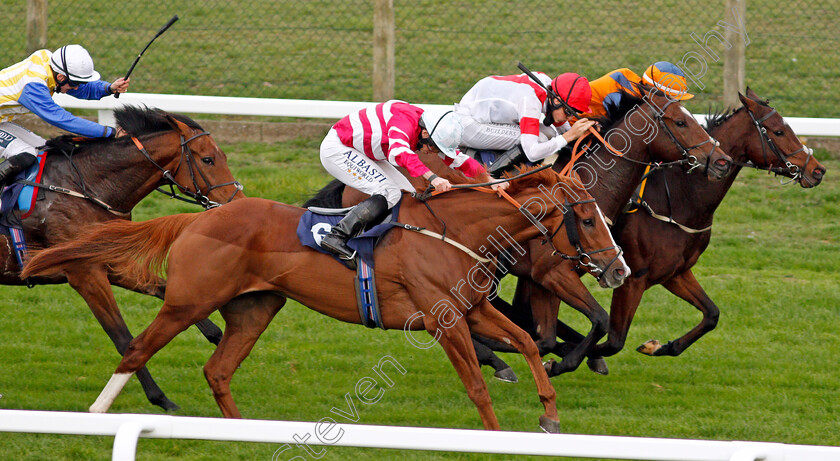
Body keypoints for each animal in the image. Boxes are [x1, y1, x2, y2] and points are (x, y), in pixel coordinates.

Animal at [3, 105, 244, 410]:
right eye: (208, 159)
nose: (238, 203)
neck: (87, 188)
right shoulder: (84, 272)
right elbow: (122, 337)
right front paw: (161, 399)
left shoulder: (112, 262)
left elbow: (166, 291)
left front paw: (222, 340)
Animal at [23, 169, 620, 432]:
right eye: (588, 219)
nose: (618, 269)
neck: (456, 231)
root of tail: (197, 219)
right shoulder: (445, 321)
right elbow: (476, 382)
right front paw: (497, 436)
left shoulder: (474, 309)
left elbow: (525, 341)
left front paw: (548, 413)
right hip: (187, 303)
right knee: (136, 350)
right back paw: (96, 416)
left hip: (256, 307)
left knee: (218, 370)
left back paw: (239, 432)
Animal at [324, 85, 732, 378]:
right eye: (680, 122)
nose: (720, 160)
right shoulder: (551, 273)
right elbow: (589, 323)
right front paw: (559, 361)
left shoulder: (546, 275)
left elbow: (551, 330)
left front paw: (568, 356)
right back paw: (496, 357)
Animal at [476, 88, 824, 380]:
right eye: (778, 131)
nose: (817, 170)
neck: (680, 199)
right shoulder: (623, 277)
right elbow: (612, 337)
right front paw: (567, 359)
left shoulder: (674, 272)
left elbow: (711, 314)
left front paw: (659, 346)